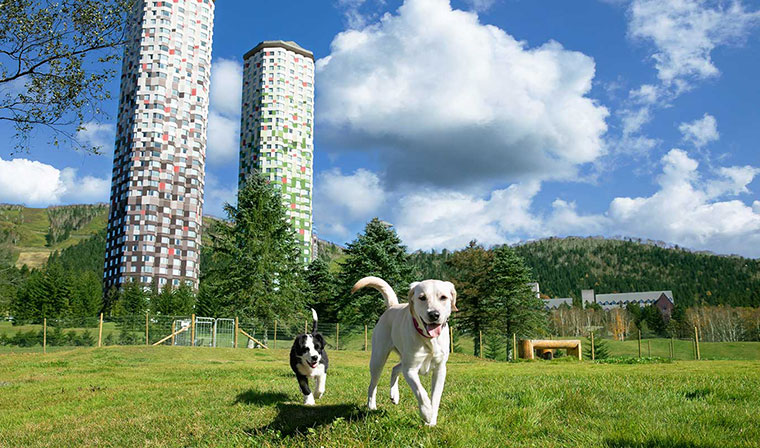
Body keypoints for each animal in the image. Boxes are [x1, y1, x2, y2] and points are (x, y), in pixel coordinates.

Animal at [352, 274, 458, 426]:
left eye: (443, 297)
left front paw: (431, 420)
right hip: (378, 359)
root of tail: (393, 306)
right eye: (422, 297)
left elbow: (435, 397)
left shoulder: (440, 369)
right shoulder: (410, 369)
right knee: (373, 384)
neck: (428, 339)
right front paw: (427, 412)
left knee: (395, 368)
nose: (434, 314)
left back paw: (394, 395)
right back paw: (371, 405)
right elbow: (421, 392)